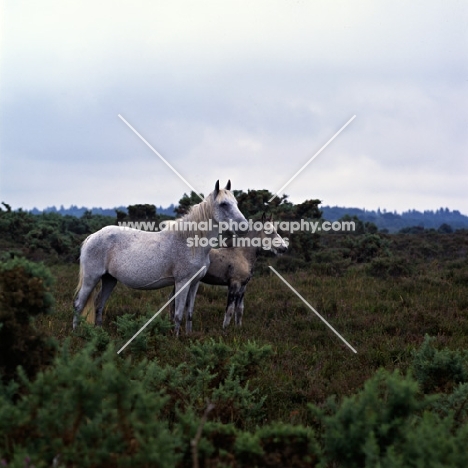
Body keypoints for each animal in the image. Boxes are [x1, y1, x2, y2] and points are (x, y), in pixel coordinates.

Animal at [73, 180, 247, 336]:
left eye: (236, 202)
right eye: (224, 204)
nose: (243, 226)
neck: (190, 242)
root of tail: (92, 237)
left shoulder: (195, 283)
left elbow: (189, 313)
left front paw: (188, 336)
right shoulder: (182, 282)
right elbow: (178, 314)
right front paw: (175, 339)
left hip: (109, 279)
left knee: (99, 304)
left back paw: (98, 332)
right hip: (91, 279)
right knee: (79, 305)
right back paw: (76, 334)